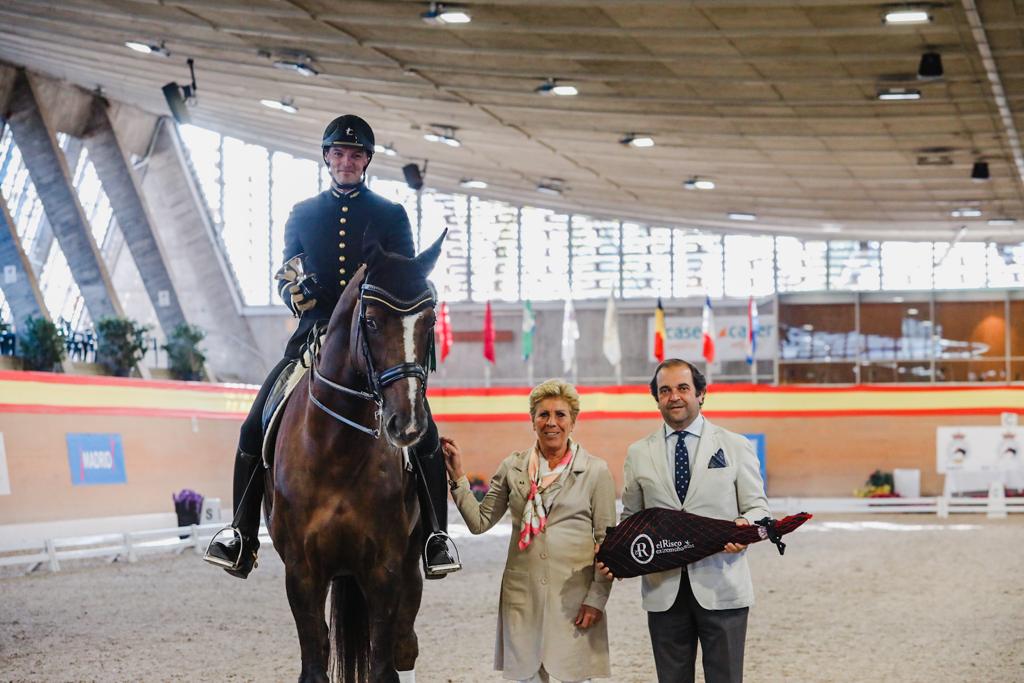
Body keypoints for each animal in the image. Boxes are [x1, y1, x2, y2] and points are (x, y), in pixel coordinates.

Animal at [266, 236, 442, 683]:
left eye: (429, 322)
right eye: (373, 322)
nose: (407, 423)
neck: (336, 450)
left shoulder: (384, 569)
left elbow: (383, 665)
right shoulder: (302, 572)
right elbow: (314, 663)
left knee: (404, 645)